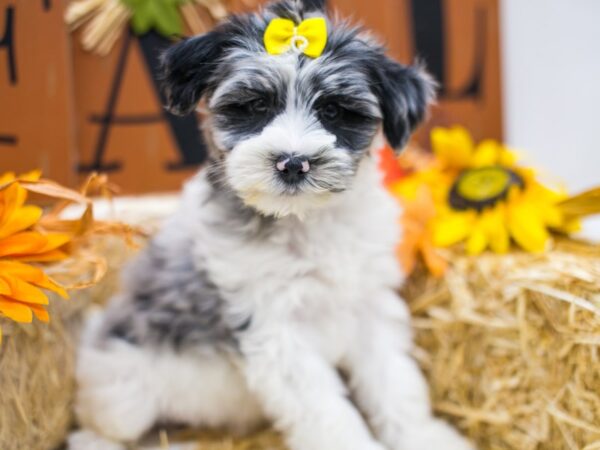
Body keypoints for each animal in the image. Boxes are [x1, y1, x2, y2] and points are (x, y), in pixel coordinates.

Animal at [69, 0, 474, 450]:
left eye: (333, 111)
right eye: (256, 107)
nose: (293, 162)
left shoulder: (369, 307)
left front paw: (424, 436)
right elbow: (326, 409)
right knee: (95, 430)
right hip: (121, 392)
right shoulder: (273, 327)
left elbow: (395, 383)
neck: (304, 220)